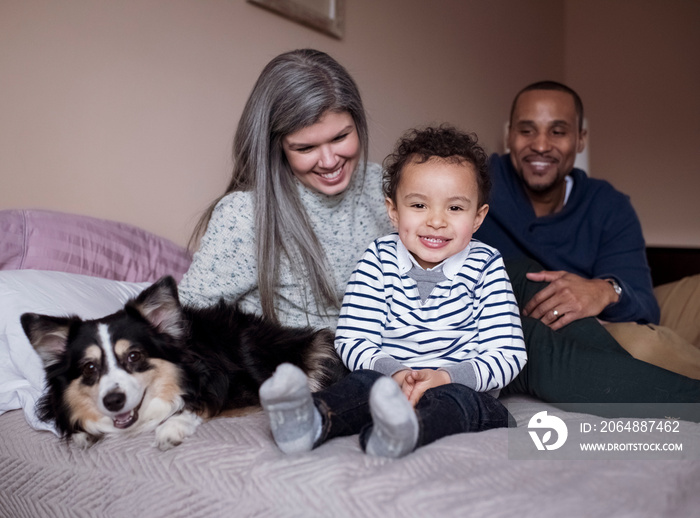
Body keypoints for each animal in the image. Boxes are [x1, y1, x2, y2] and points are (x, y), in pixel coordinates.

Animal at [21, 276, 348, 450]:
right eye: (90, 368)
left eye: (134, 356)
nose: (113, 401)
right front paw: (82, 435)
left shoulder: (241, 388)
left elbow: (198, 406)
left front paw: (172, 427)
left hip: (315, 350)